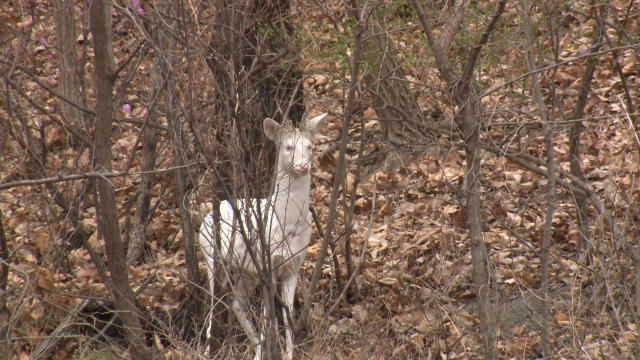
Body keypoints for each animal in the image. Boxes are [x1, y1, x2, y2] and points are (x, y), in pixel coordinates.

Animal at [200, 112, 328, 360]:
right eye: (288, 147)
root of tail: (206, 216)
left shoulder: (293, 265)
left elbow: (287, 316)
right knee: (213, 305)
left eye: (310, 145)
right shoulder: (267, 265)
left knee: (236, 303)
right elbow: (270, 318)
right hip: (211, 255)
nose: (304, 165)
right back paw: (209, 350)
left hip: (246, 271)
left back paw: (257, 351)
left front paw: (288, 354)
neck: (286, 224)